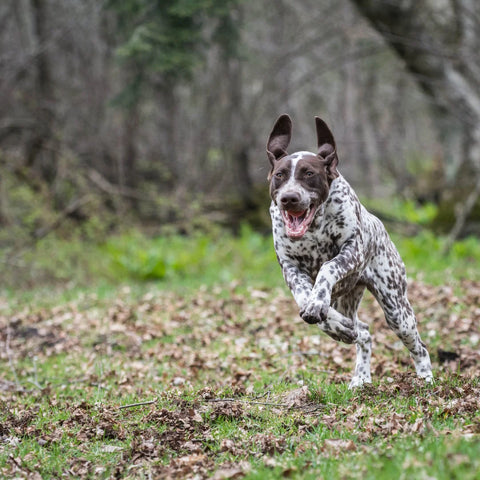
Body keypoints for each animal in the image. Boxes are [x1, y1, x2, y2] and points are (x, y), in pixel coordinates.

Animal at [268, 114, 434, 388]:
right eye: (279, 175)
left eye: (309, 173)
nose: (289, 198)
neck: (314, 226)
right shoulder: (290, 267)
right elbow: (304, 297)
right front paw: (327, 317)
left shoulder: (351, 252)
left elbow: (327, 267)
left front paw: (318, 304)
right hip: (346, 300)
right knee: (363, 331)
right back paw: (360, 375)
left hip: (397, 310)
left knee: (419, 347)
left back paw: (426, 378)